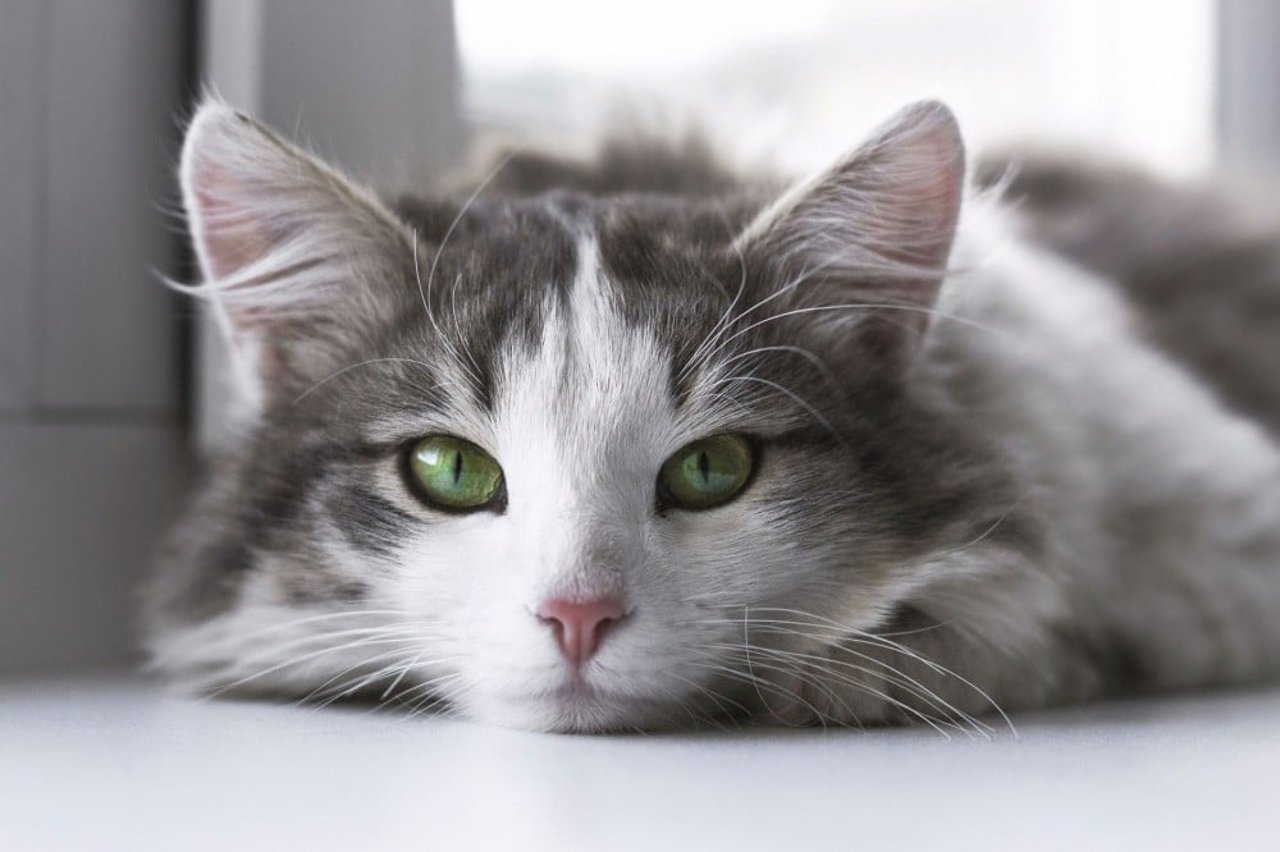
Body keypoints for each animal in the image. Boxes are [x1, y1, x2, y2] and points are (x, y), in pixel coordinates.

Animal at [145, 94, 1280, 731]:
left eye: (712, 469)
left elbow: (1032, 616)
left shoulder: (1216, 520)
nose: (577, 617)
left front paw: (854, 670)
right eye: (451, 471)